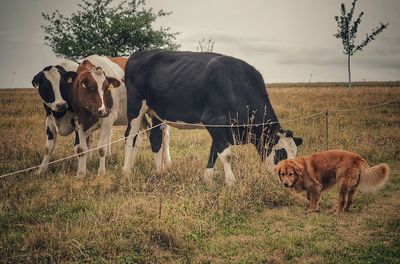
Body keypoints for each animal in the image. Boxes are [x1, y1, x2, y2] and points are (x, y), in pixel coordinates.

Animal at [123, 50, 302, 186]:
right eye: (281, 155)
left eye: (295, 156)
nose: (291, 182)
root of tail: (139, 54)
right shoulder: (214, 121)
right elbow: (226, 155)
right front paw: (231, 182)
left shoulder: (222, 128)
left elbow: (214, 151)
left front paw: (207, 179)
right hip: (135, 106)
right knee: (130, 137)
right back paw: (127, 172)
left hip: (158, 112)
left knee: (155, 138)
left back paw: (160, 172)